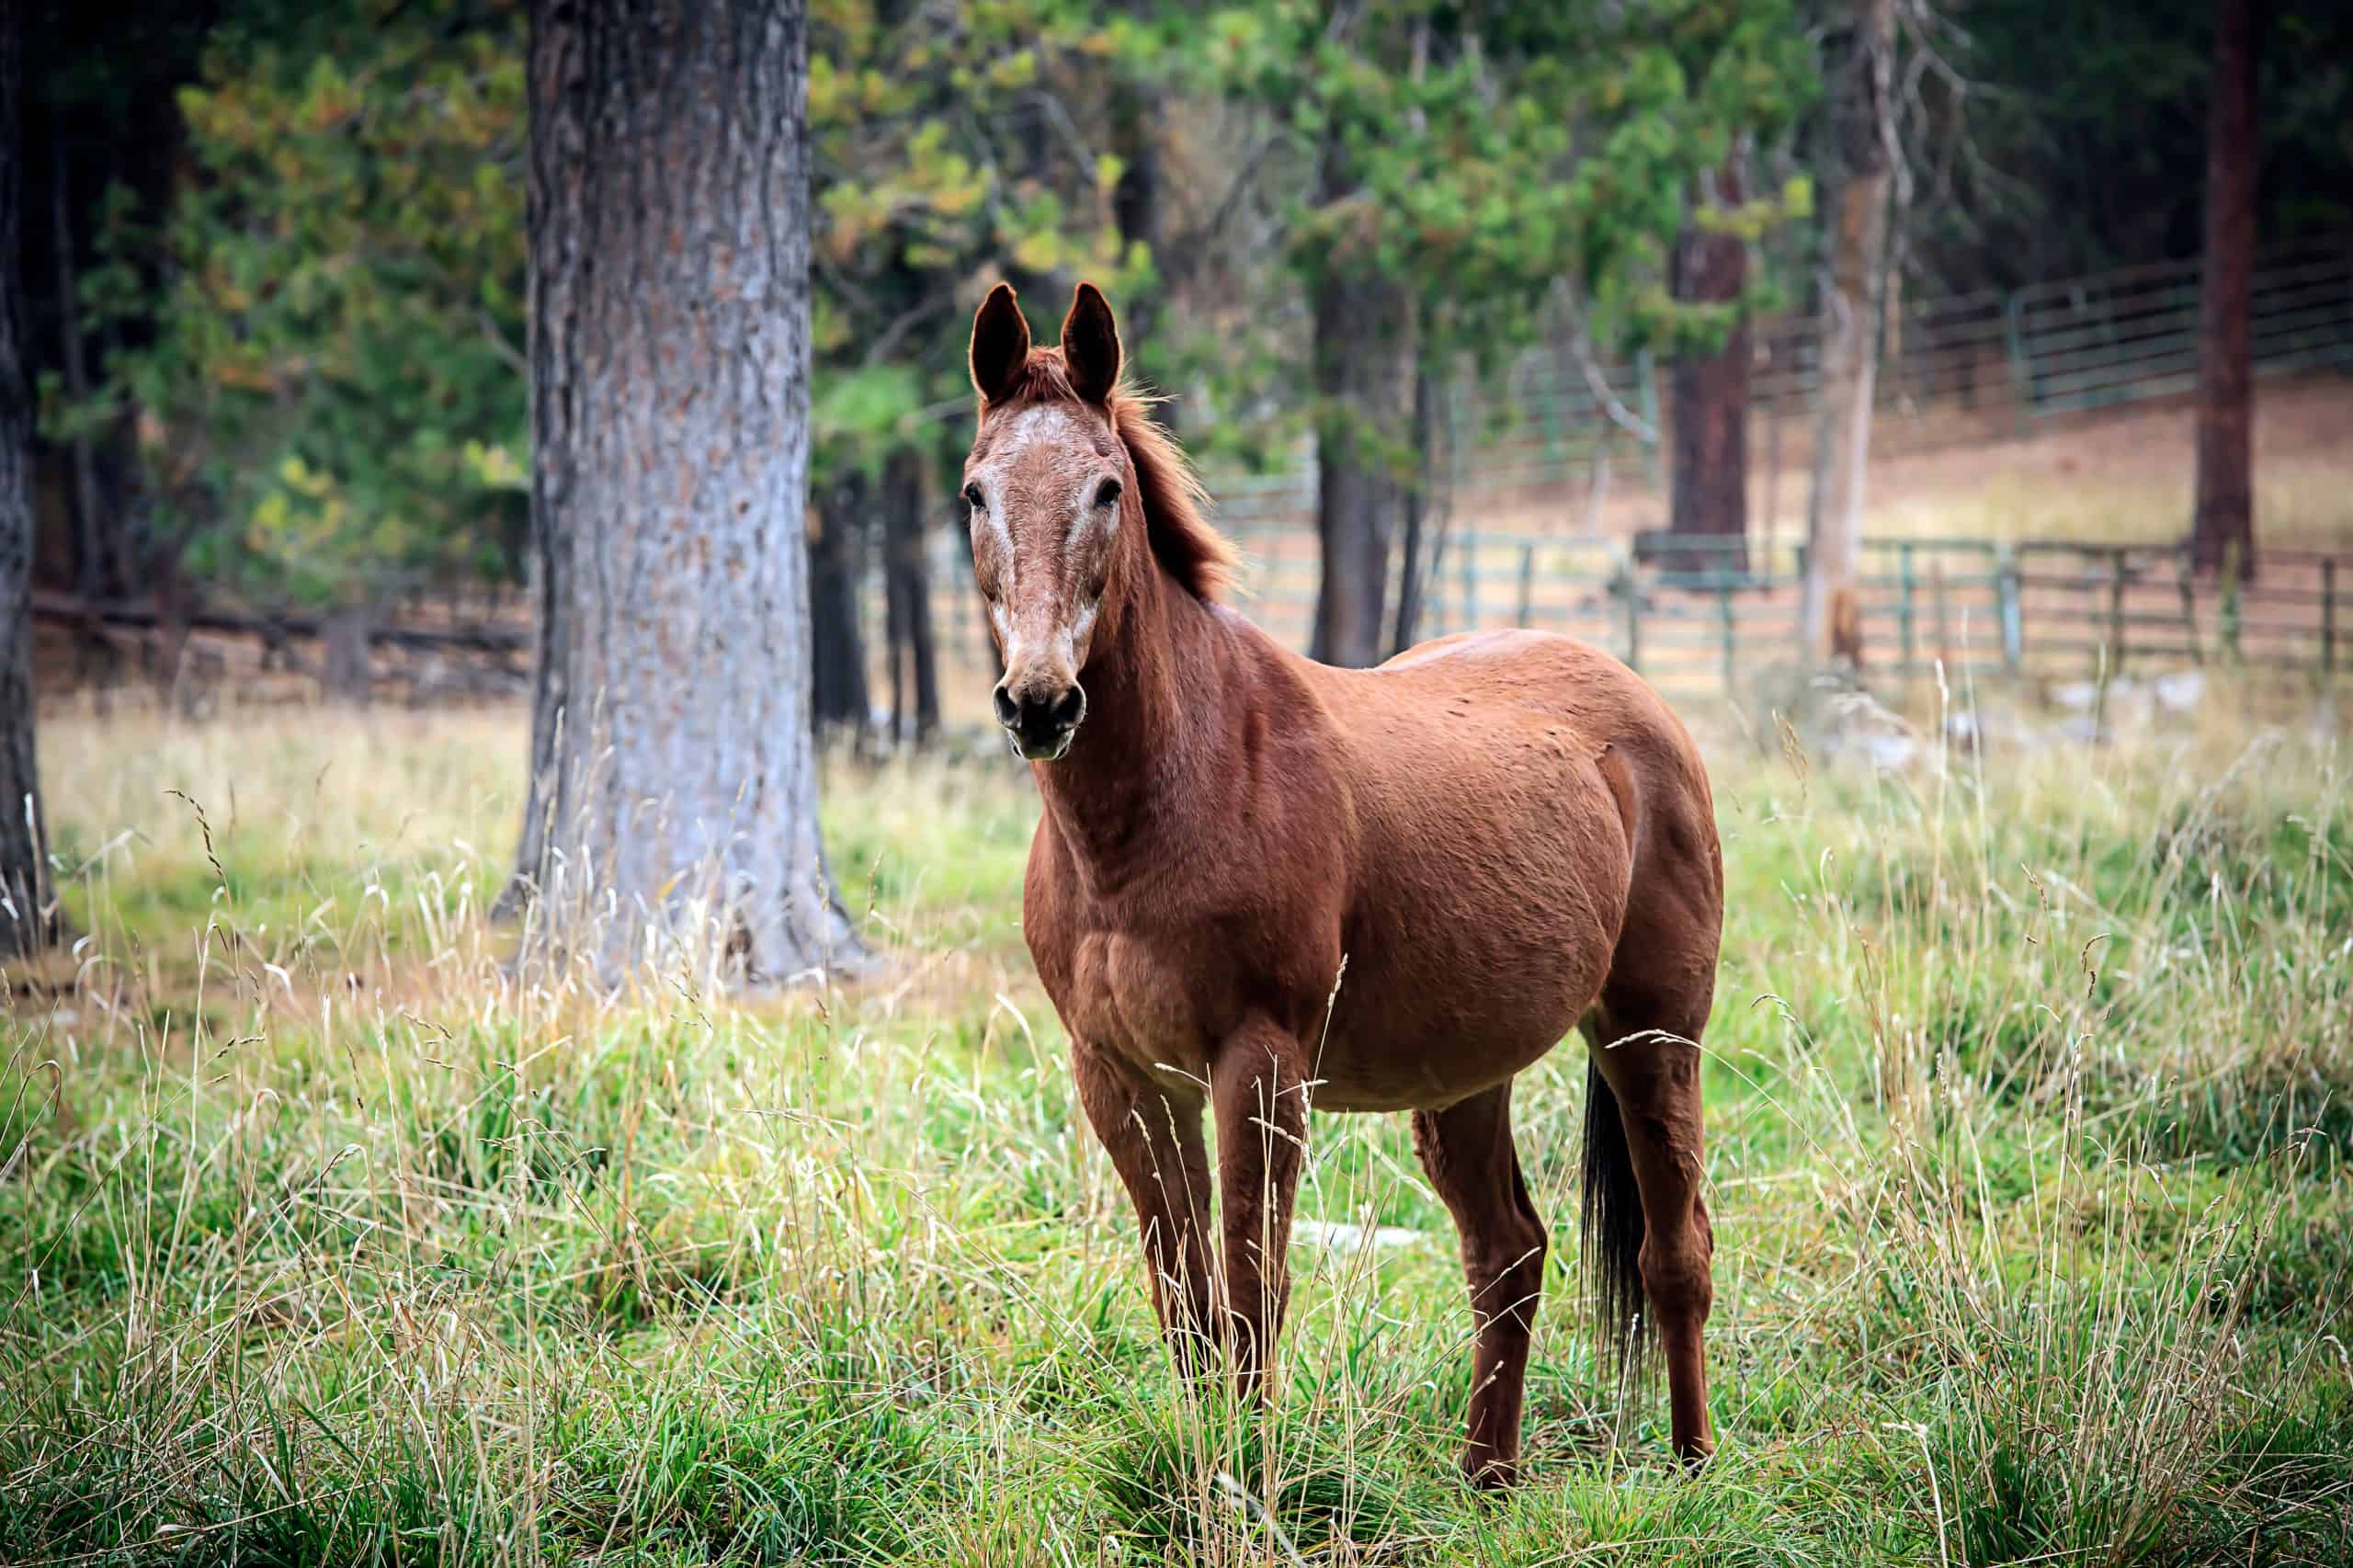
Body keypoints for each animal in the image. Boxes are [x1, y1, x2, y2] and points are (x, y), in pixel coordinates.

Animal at [960, 278, 1732, 1478]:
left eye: (1106, 486)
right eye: (975, 492)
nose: (1039, 702)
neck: (1165, 802)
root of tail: (1641, 705)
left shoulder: (1258, 1066)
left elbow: (1250, 1295)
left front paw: (1249, 1480)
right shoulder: (1122, 1078)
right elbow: (1185, 1304)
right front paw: (1209, 1471)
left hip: (1652, 1033)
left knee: (1672, 1251)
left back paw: (1691, 1467)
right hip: (1466, 1073)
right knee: (1508, 1250)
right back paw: (1486, 1478)